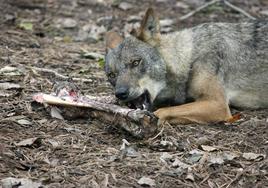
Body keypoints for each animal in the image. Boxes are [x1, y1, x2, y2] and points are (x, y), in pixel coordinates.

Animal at [104, 8, 268, 124]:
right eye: (111, 75)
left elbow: (162, 112)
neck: (189, 58)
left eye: (136, 62)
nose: (120, 93)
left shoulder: (218, 104)